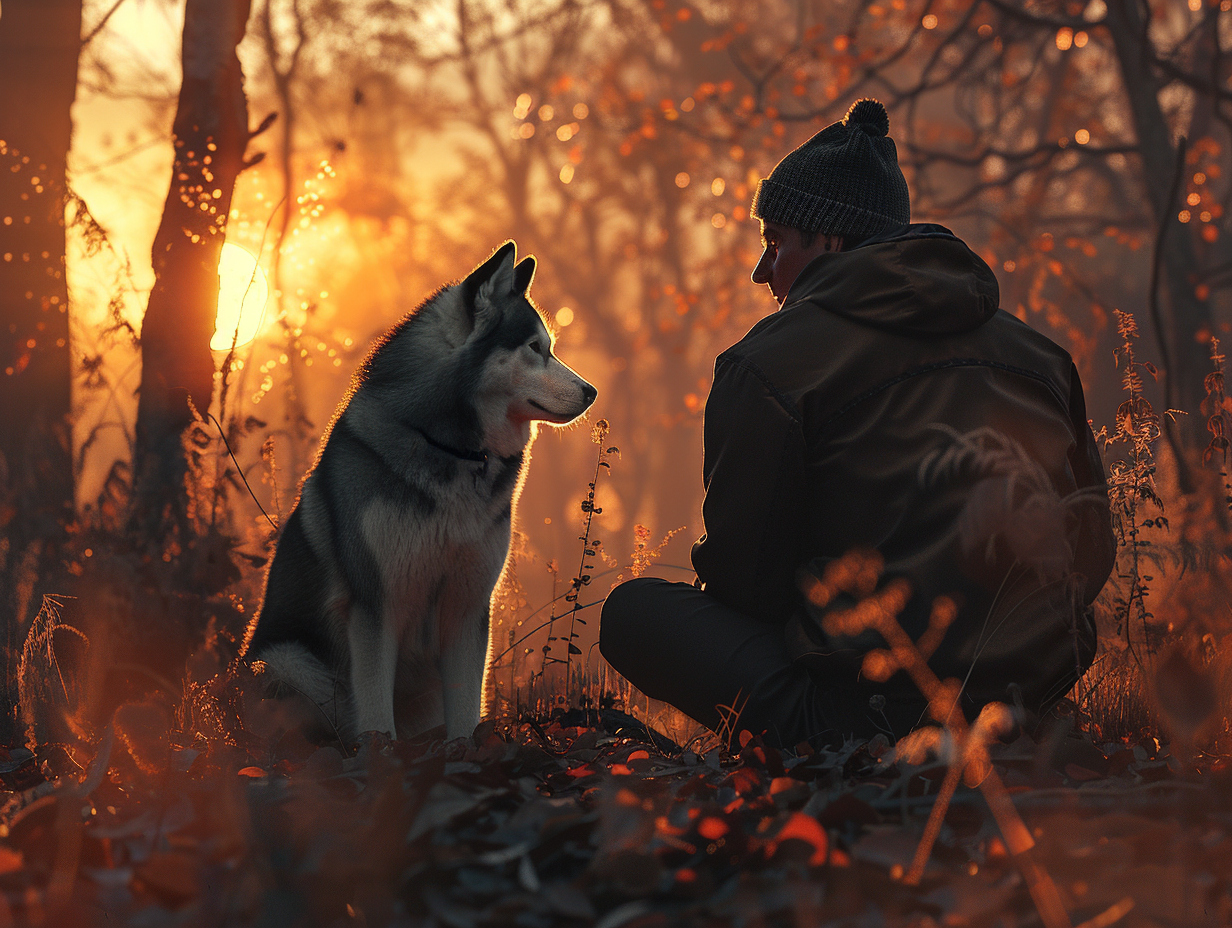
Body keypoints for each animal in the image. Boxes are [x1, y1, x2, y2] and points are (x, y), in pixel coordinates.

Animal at [241, 242, 596, 744]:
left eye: (550, 348)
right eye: (535, 348)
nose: (592, 391)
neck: (451, 449)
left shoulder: (469, 606)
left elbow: (465, 712)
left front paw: (465, 751)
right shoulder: (374, 606)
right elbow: (375, 715)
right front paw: (380, 757)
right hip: (289, 663)